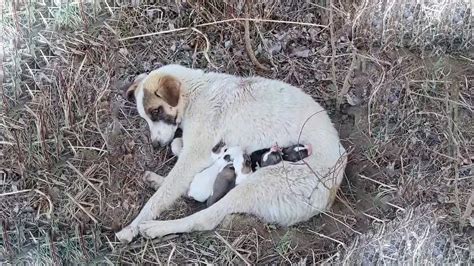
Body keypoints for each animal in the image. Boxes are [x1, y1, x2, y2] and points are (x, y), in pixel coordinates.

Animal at [116, 64, 346, 241]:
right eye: (145, 118)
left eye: (156, 111)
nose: (155, 145)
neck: (196, 93)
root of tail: (334, 186)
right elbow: (177, 152)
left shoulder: (195, 154)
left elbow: (160, 197)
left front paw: (132, 227)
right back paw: (156, 181)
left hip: (259, 184)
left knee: (205, 218)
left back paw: (157, 227)